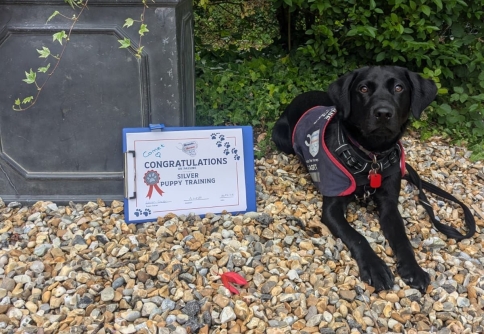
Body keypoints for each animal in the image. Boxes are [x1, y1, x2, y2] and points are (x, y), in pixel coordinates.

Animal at [272, 66, 438, 292]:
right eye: (363, 88)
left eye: (399, 87)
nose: (383, 113)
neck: (371, 156)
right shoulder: (332, 208)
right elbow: (357, 237)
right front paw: (376, 268)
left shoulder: (389, 204)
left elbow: (402, 239)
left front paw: (413, 269)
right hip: (281, 139)